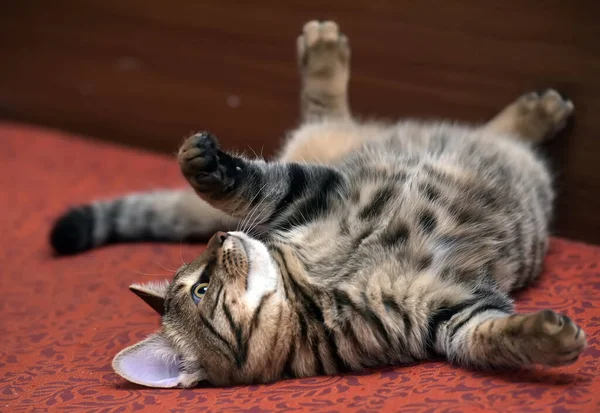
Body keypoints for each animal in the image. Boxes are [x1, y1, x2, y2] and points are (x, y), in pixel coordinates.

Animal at [49, 19, 584, 386]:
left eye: (199, 275)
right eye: (200, 290)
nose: (221, 235)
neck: (319, 289)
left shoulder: (311, 193)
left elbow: (248, 183)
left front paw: (203, 164)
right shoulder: (447, 313)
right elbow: (491, 336)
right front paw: (549, 339)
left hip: (335, 149)